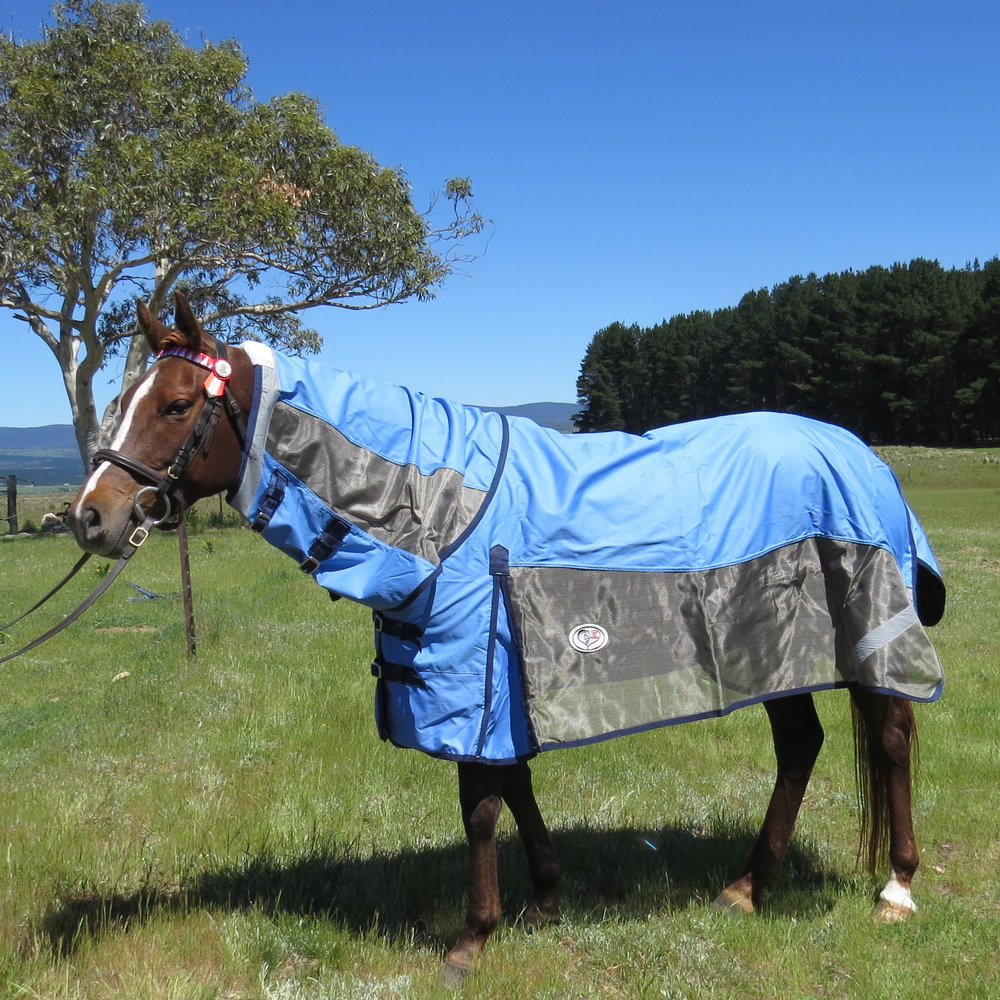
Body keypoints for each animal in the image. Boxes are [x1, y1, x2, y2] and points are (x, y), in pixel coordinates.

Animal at [69, 293, 945, 980]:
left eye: (176, 405)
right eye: (127, 400)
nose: (92, 517)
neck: (432, 506)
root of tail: (859, 453)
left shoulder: (475, 674)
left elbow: (482, 803)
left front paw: (472, 938)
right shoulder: (489, 682)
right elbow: (515, 785)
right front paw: (546, 899)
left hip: (867, 636)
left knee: (891, 738)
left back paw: (897, 890)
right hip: (773, 654)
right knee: (800, 745)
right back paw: (746, 888)